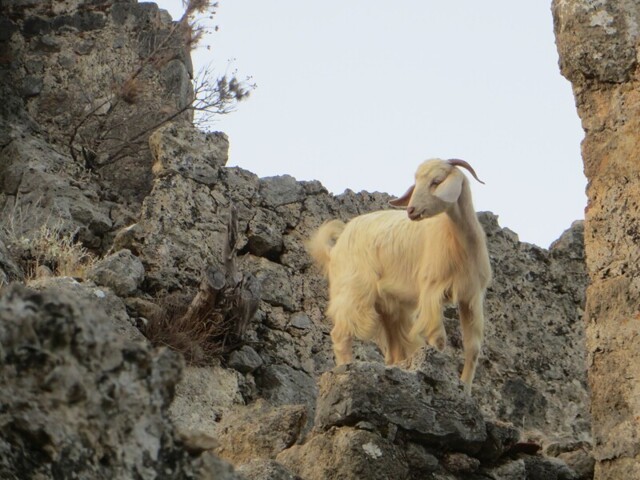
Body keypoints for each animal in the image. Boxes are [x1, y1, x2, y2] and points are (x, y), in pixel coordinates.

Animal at [306, 158, 491, 392]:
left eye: (436, 181)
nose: (411, 210)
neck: (457, 239)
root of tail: (334, 248)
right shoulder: (432, 288)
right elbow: (438, 338)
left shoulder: (471, 296)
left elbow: (472, 347)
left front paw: (465, 388)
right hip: (352, 289)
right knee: (340, 333)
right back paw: (345, 369)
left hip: (388, 305)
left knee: (393, 349)